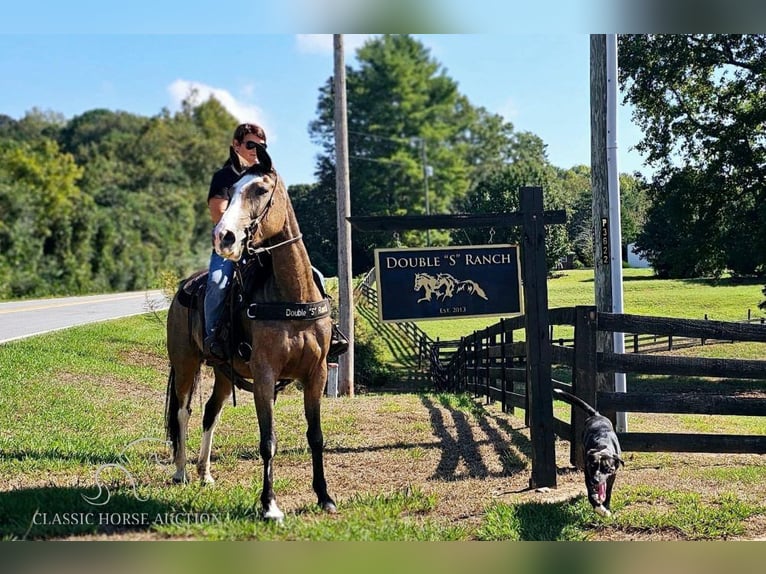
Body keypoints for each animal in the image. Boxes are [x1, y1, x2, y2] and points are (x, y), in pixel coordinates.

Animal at [165, 161, 336, 520]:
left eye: (260, 189)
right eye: (229, 192)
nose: (224, 236)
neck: (291, 294)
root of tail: (185, 286)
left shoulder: (316, 374)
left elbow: (315, 436)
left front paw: (324, 496)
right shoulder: (264, 375)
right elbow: (267, 440)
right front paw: (269, 505)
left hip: (222, 373)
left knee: (210, 412)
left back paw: (204, 473)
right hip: (186, 363)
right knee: (183, 412)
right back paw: (181, 472)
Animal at [556, 390, 628, 520]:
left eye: (607, 468)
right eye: (592, 466)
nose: (595, 480)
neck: (603, 445)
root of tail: (596, 415)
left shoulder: (612, 475)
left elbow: (608, 492)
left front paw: (606, 507)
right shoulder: (587, 474)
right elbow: (591, 495)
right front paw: (600, 509)